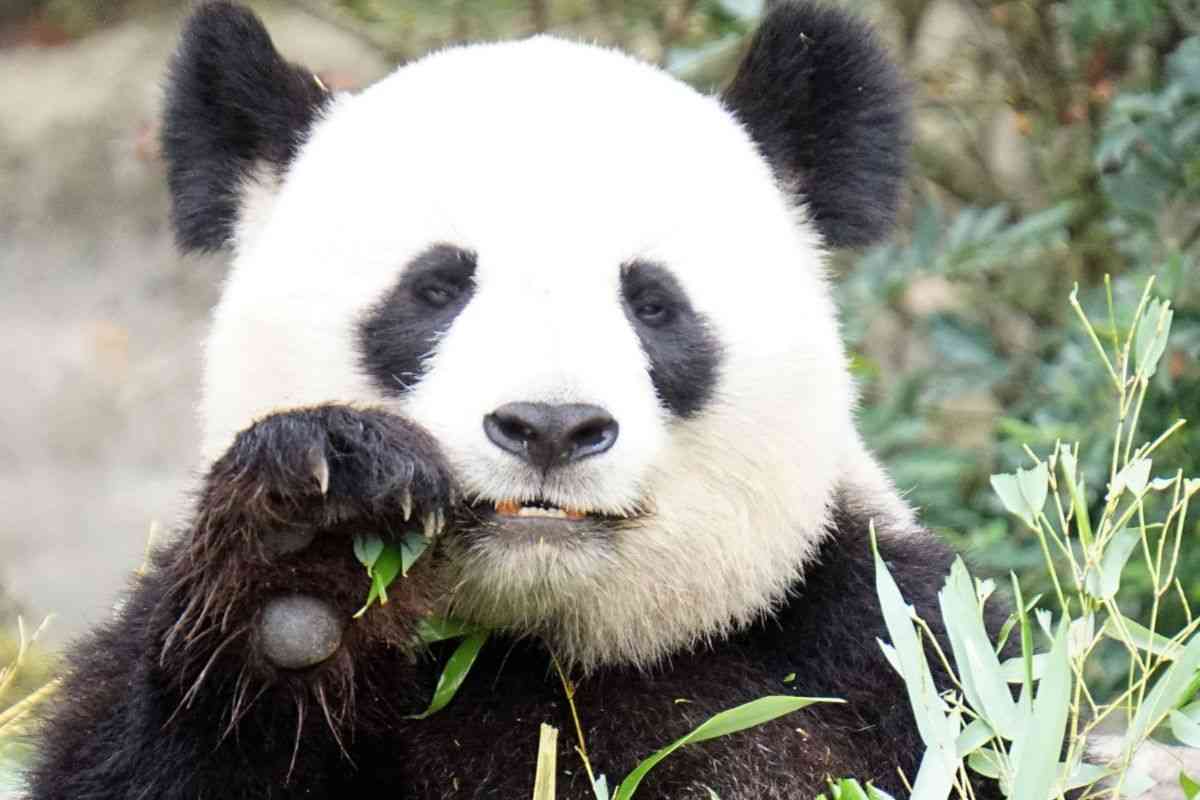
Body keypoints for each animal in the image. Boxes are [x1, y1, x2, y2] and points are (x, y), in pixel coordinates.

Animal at [27, 2, 1004, 798]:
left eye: (654, 305)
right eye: (435, 289)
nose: (550, 427)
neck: (538, 652)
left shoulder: (894, 655)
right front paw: (305, 560)